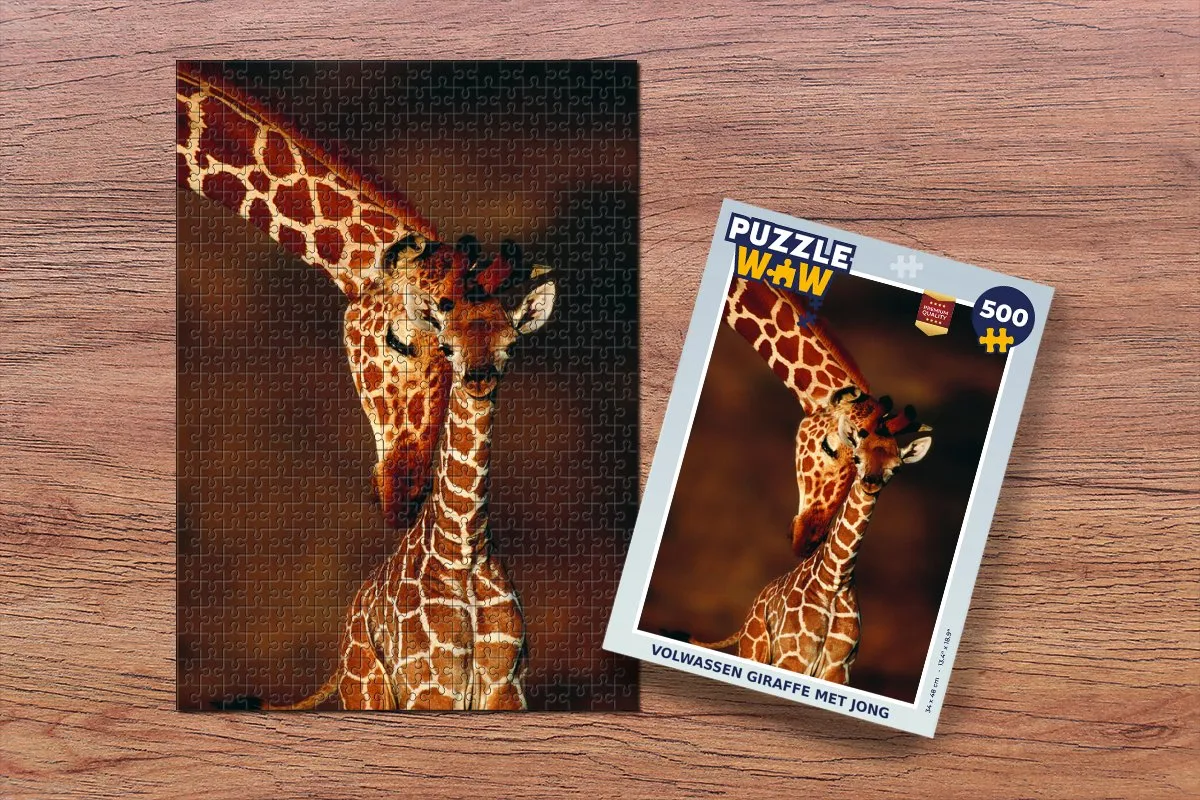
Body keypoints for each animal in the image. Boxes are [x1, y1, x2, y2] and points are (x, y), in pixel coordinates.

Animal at [278, 249, 557, 710]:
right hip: (367, 691)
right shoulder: (430, 686)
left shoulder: (507, 686)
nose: (478, 377)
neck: (464, 550)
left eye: (511, 343)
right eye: (447, 345)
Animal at [693, 387, 932, 683]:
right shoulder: (793, 658)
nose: (871, 482)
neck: (834, 579)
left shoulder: (839, 668)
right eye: (857, 457)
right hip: (754, 651)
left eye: (896, 467)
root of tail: (750, 613)